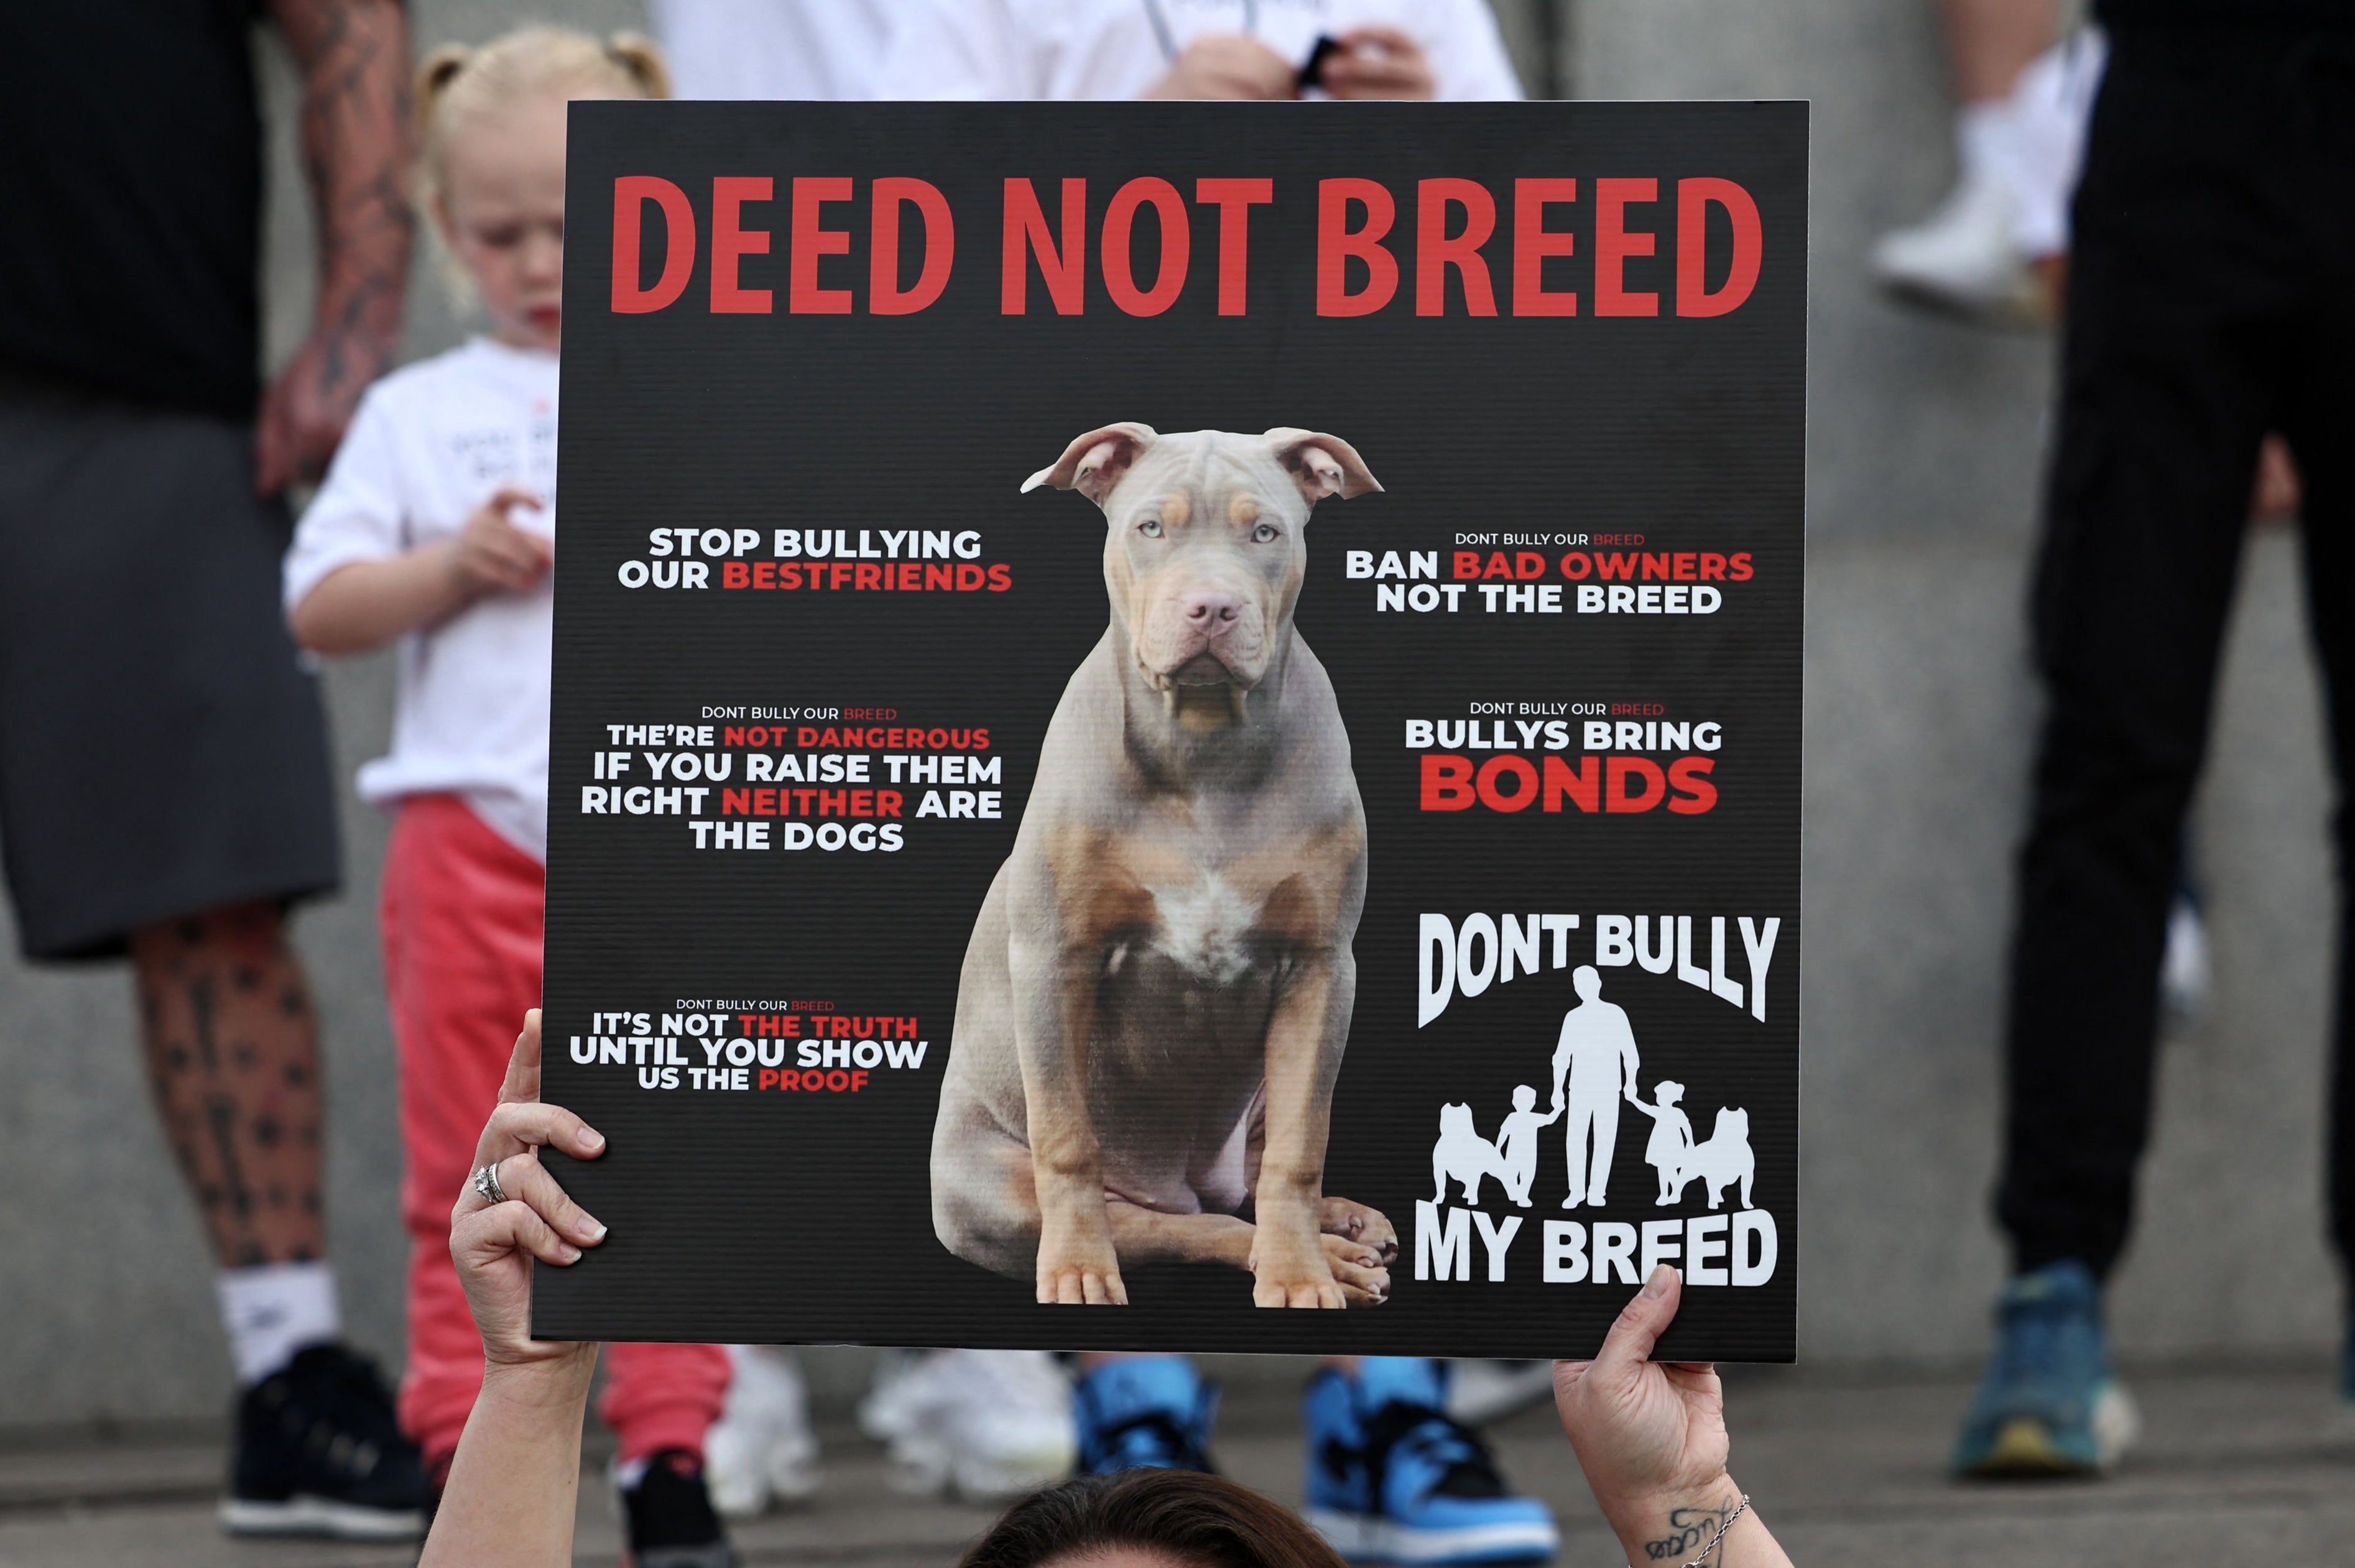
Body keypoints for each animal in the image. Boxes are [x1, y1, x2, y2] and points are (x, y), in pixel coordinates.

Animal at [923, 421, 1394, 1299]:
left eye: (1265, 532)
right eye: (1150, 528)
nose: (1211, 606)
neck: (1203, 748)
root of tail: (1186, 1180)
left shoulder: (1320, 968)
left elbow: (1298, 1149)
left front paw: (1299, 1270)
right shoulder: (1055, 959)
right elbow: (1068, 1140)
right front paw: (1078, 1267)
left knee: (1248, 1177)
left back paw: (1340, 1230)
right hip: (997, 1188)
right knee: (1182, 1223)